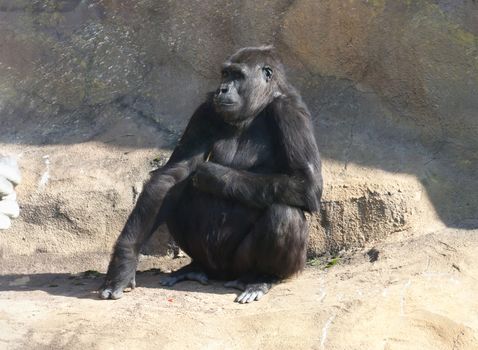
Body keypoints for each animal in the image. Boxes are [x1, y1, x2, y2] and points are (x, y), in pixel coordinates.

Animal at [99, 45, 324, 304]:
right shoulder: (206, 109)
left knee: (284, 213)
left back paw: (262, 277)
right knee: (178, 194)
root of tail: (221, 274)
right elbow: (173, 177)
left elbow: (307, 184)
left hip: (241, 266)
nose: (222, 89)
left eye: (237, 75)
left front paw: (213, 175)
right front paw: (123, 264)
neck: (258, 106)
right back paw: (195, 268)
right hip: (211, 262)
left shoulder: (290, 110)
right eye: (225, 74)